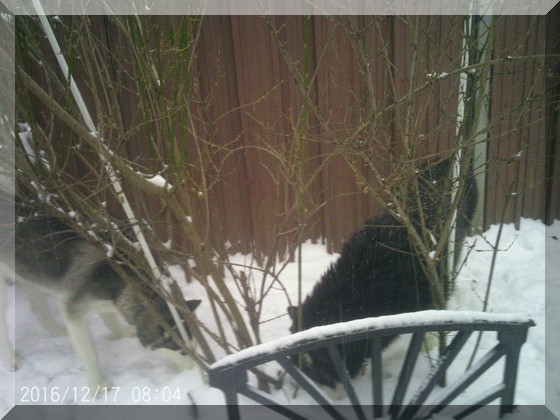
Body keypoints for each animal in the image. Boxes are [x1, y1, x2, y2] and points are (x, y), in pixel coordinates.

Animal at [0, 202, 201, 392]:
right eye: (182, 351)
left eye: (195, 348)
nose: (195, 374)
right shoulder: (74, 310)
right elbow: (90, 354)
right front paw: (98, 385)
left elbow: (109, 316)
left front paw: (120, 331)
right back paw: (11, 360)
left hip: (26, 270)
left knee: (37, 307)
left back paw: (58, 332)